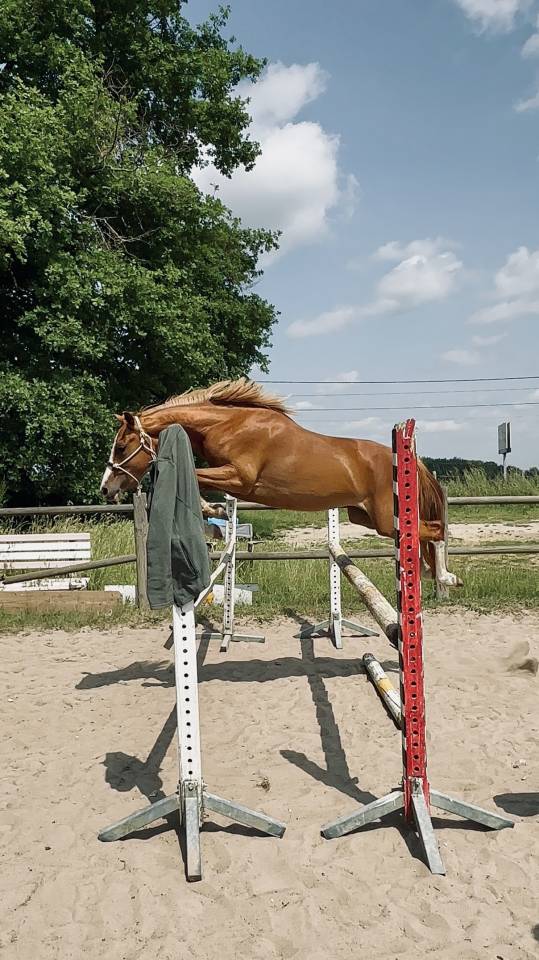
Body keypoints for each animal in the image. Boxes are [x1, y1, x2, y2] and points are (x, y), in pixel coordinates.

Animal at [100, 378, 459, 587]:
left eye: (121, 447)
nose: (106, 488)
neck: (226, 424)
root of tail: (410, 459)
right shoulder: (233, 477)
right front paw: (217, 513)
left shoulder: (241, 476)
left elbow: (200, 480)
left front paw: (214, 510)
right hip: (366, 517)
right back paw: (430, 573)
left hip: (386, 519)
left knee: (437, 529)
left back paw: (444, 576)